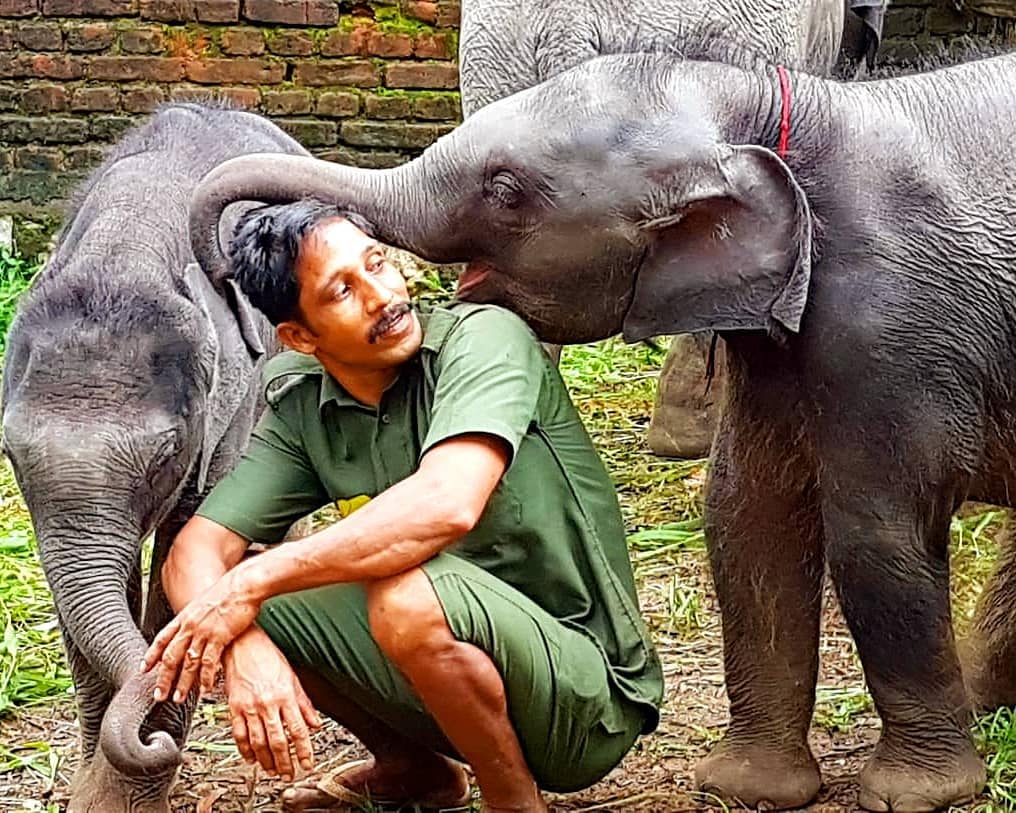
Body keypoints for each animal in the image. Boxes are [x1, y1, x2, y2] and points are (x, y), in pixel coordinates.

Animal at [0, 102, 306, 812]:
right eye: (10, 452)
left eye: (167, 452)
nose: (150, 739)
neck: (126, 252)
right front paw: (92, 790)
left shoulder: (232, 402)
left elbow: (183, 541)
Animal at [188, 48, 1016, 811]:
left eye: (504, 190)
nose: (229, 269)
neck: (773, 106)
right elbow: (748, 518)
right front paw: (747, 788)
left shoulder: (897, 323)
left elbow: (874, 532)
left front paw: (916, 796)